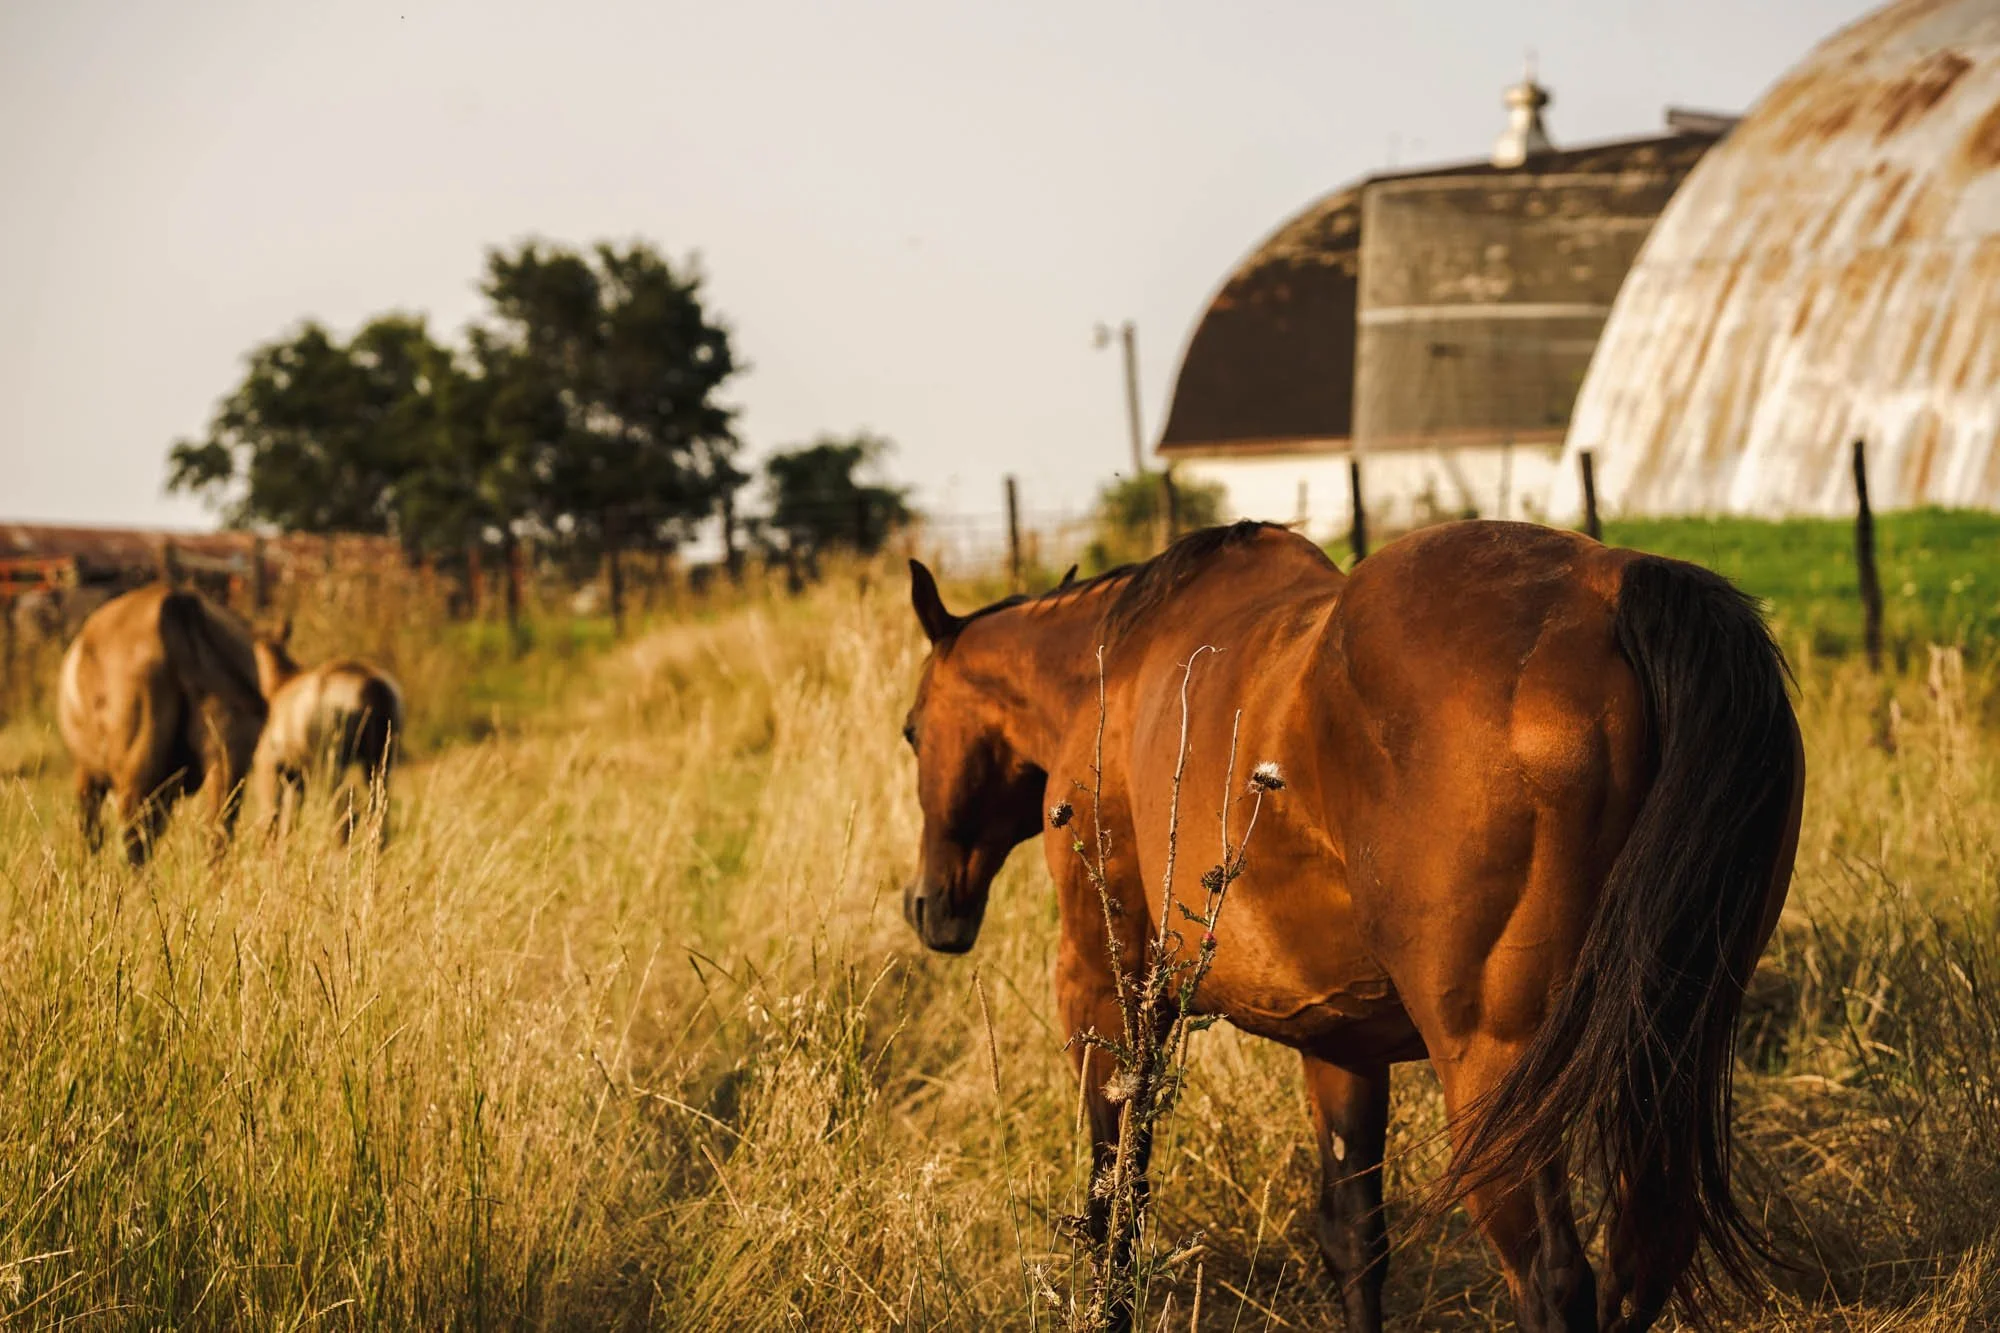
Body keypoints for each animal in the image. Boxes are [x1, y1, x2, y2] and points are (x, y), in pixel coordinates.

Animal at [57, 582, 268, 865]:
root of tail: (174, 601)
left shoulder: (87, 773)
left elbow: (90, 830)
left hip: (136, 768)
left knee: (133, 841)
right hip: (227, 762)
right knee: (218, 831)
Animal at [248, 622, 403, 846]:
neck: (276, 683)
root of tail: (374, 686)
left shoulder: (269, 766)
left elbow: (271, 821)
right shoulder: (295, 777)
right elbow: (289, 825)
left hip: (328, 764)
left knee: (344, 813)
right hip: (380, 761)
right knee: (378, 817)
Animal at [899, 521, 1803, 1333]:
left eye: (911, 730)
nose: (928, 905)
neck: (1108, 679)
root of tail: (1614, 591)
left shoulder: (1103, 988)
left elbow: (1114, 1201)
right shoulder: (1341, 1045)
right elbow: (1353, 1240)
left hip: (1495, 1074)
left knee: (1553, 1280)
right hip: (1664, 1049)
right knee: (1647, 1250)